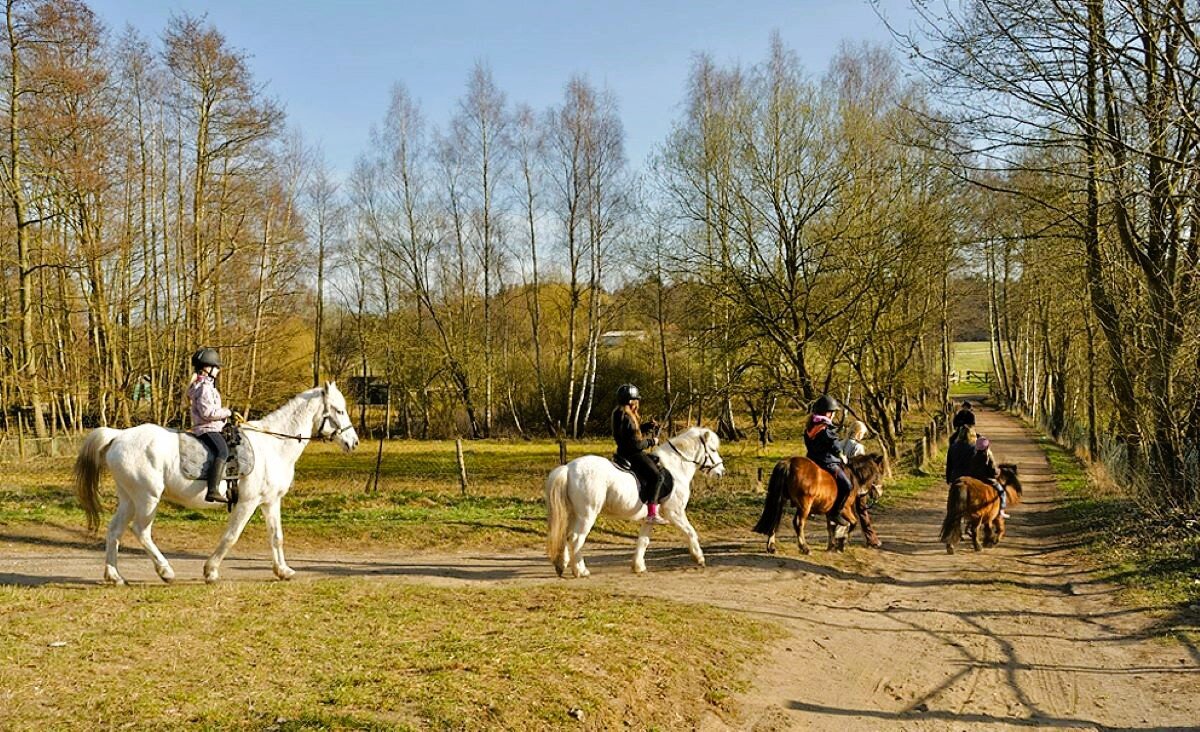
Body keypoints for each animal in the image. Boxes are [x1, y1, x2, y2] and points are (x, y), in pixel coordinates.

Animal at [71, 381, 355, 580]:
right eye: (339, 410)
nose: (353, 442)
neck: (274, 445)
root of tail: (118, 436)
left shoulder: (270, 502)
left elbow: (277, 537)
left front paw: (283, 571)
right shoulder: (247, 503)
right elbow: (231, 536)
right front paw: (211, 571)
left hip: (128, 498)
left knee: (114, 531)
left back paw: (114, 575)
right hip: (147, 498)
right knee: (141, 531)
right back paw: (165, 571)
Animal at [544, 427, 720, 576]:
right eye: (712, 449)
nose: (721, 471)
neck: (676, 467)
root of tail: (568, 468)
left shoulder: (650, 518)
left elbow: (643, 541)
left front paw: (638, 566)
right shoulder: (674, 512)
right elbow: (690, 532)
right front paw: (699, 558)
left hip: (573, 513)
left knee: (565, 535)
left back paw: (561, 565)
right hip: (587, 514)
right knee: (575, 538)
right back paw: (581, 570)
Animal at [753, 451, 888, 552]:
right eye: (880, 473)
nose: (879, 493)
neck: (852, 474)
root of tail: (789, 463)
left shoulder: (830, 512)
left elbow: (830, 527)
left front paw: (832, 545)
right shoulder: (845, 509)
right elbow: (853, 523)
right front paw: (842, 543)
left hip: (781, 500)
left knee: (775, 519)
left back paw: (771, 546)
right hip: (804, 506)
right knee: (798, 523)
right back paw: (804, 547)